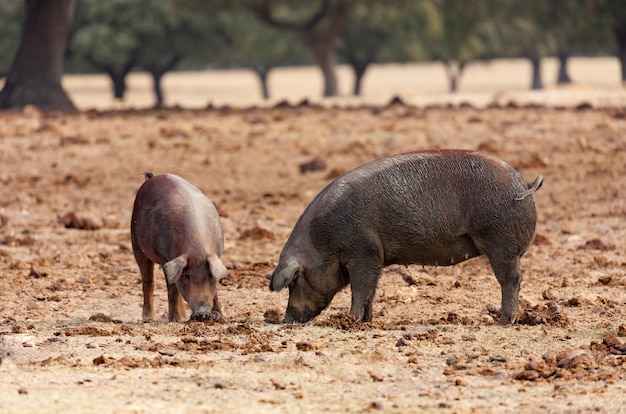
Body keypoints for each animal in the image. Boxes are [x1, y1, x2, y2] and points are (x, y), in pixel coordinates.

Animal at [129, 173, 227, 322]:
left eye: (209, 275)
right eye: (187, 275)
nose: (202, 313)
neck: (197, 247)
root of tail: (153, 177)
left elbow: (214, 291)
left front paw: (220, 317)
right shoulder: (165, 258)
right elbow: (172, 289)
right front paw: (174, 321)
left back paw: (183, 316)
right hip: (136, 242)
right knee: (148, 281)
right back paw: (149, 318)